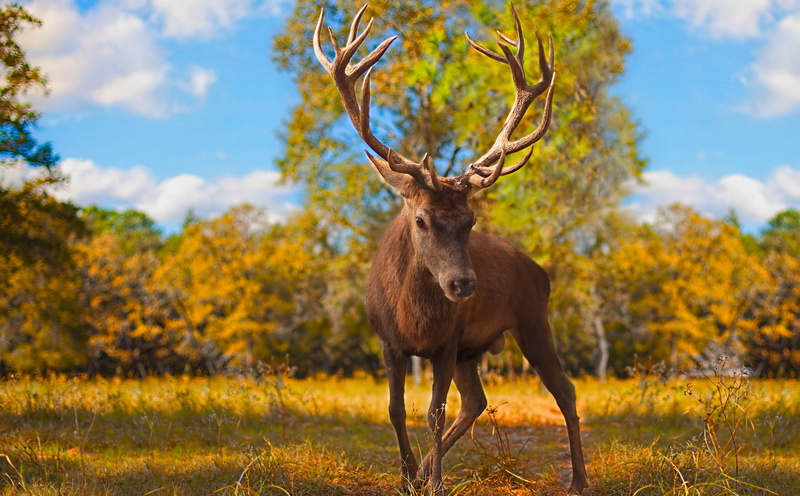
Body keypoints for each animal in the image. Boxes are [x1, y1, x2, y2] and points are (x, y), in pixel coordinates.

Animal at [313, 4, 588, 495]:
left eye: (470, 221)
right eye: (422, 219)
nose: (463, 285)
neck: (414, 319)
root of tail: (541, 272)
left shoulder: (447, 341)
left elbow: (434, 414)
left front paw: (436, 483)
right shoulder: (389, 341)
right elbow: (395, 410)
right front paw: (408, 476)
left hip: (531, 319)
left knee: (565, 389)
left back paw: (577, 479)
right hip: (473, 350)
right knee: (476, 401)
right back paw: (424, 469)